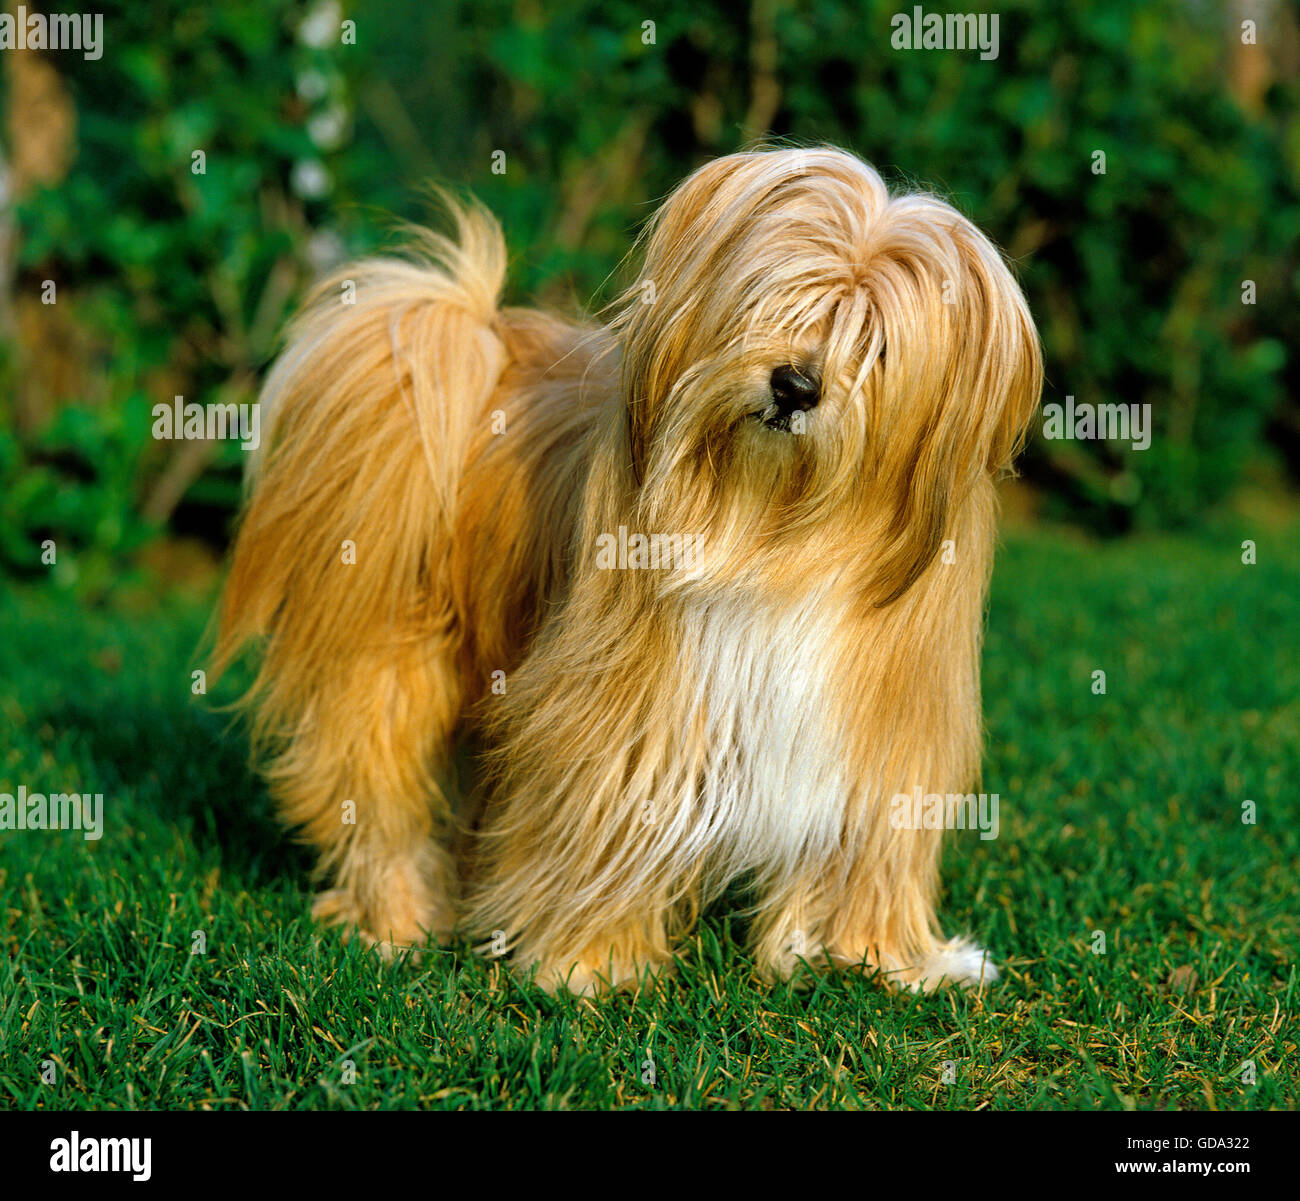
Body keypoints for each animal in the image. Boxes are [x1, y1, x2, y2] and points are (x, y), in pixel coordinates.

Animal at [213, 145, 1045, 993]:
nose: (795, 385)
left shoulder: (882, 730)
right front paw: (591, 962)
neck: (774, 531)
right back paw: (397, 920)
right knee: (376, 788)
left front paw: (881, 956)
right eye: (768, 301)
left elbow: (867, 846)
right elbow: (606, 823)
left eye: (876, 346)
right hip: (390, 659)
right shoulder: (627, 710)